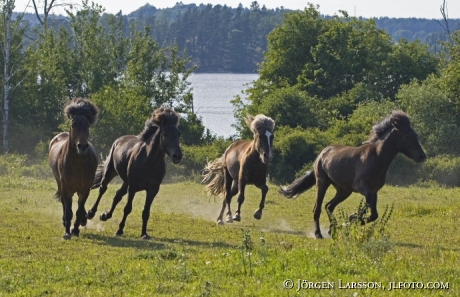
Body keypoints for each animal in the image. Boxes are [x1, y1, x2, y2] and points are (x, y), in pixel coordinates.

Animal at [48, 97, 99, 238]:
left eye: (87, 125)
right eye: (73, 124)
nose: (82, 147)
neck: (78, 164)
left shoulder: (85, 188)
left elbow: (79, 210)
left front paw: (76, 229)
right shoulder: (67, 188)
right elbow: (69, 210)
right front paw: (67, 232)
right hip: (59, 182)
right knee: (64, 203)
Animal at [86, 106, 181, 238]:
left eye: (179, 134)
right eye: (165, 133)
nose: (178, 156)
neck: (149, 161)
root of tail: (119, 139)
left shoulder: (152, 190)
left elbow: (146, 212)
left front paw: (144, 234)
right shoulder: (133, 187)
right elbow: (127, 208)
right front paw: (120, 230)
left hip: (126, 181)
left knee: (117, 195)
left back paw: (105, 216)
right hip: (111, 172)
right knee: (102, 189)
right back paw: (91, 213)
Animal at [278, 109, 426, 238]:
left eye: (416, 135)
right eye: (407, 136)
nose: (422, 156)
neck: (376, 158)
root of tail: (322, 153)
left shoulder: (374, 190)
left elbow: (373, 212)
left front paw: (351, 219)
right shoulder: (361, 187)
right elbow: (370, 210)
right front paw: (351, 219)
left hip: (344, 191)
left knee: (329, 206)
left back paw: (332, 230)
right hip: (322, 183)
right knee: (318, 208)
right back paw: (318, 234)